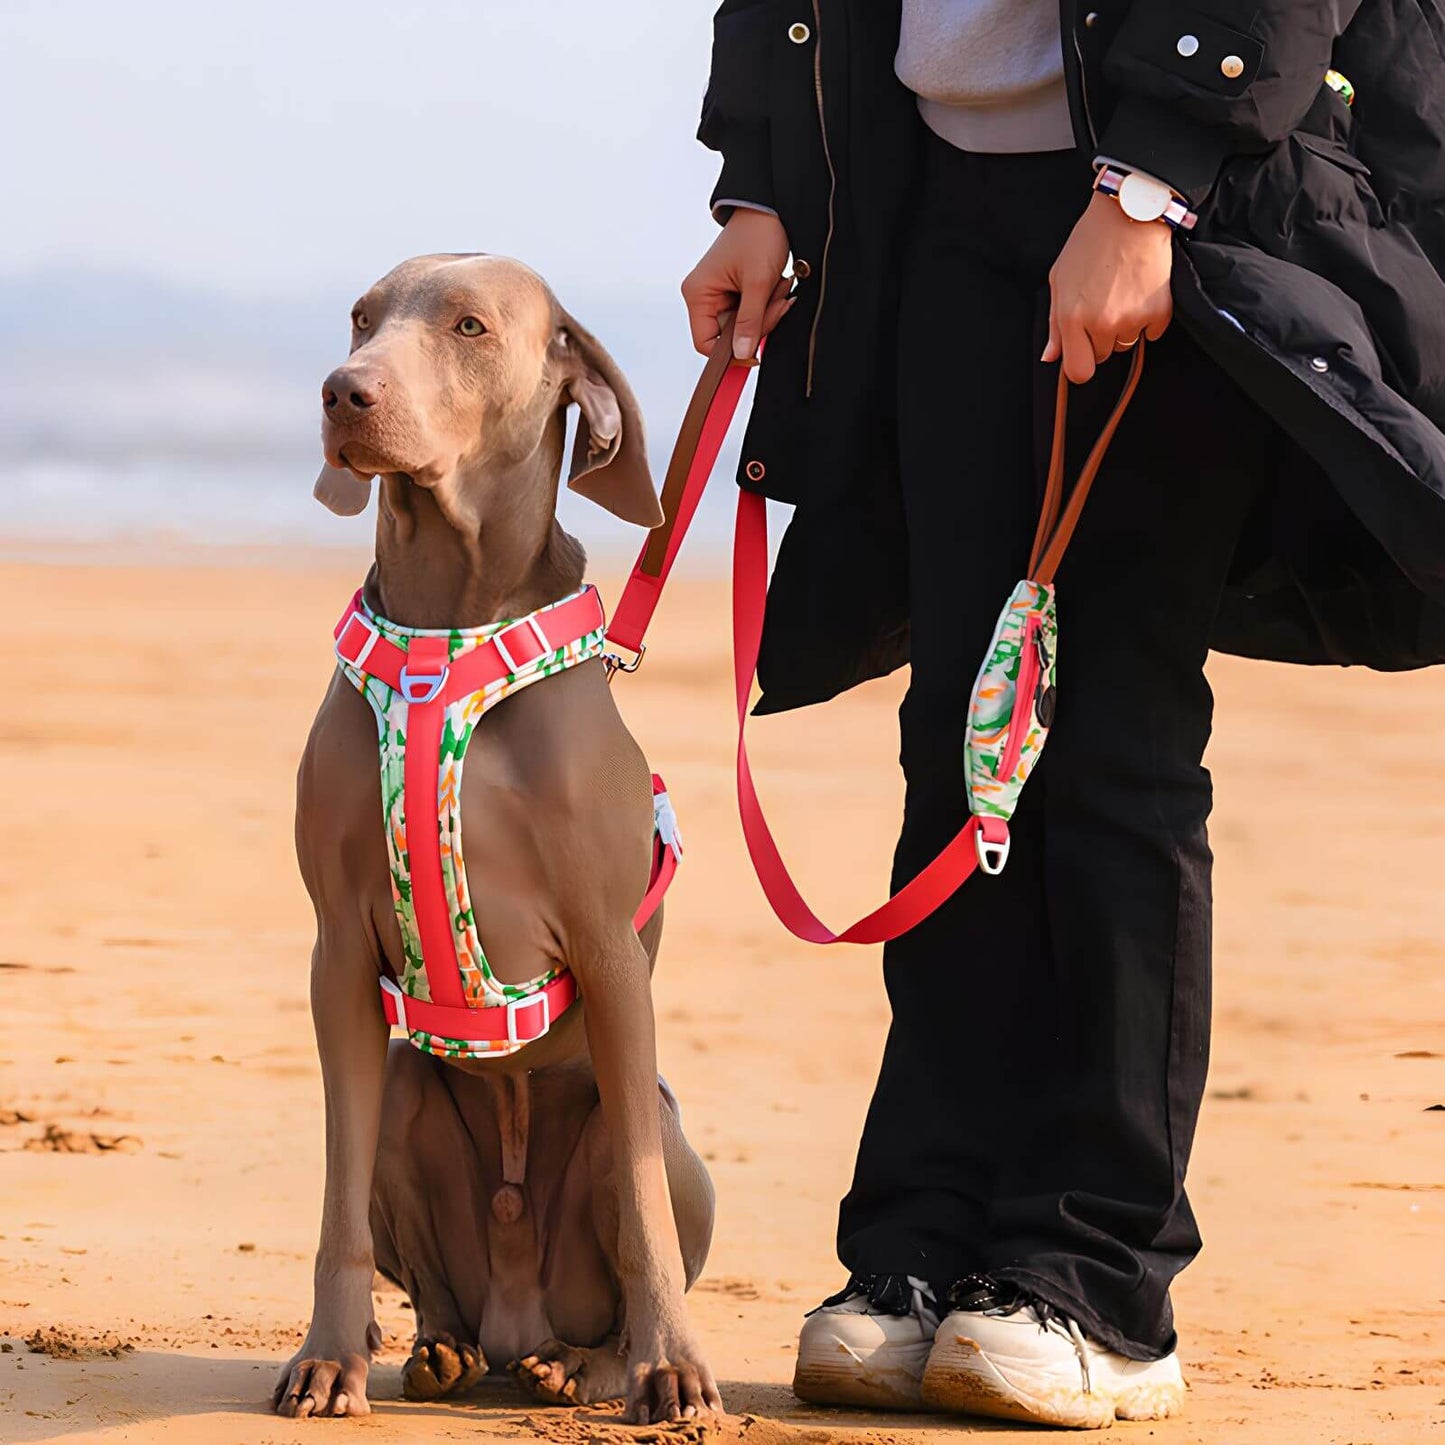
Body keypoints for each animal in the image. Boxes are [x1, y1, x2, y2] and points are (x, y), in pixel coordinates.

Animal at [271, 257, 716, 1421]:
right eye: (360, 317)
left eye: (468, 326)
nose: (343, 392)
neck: (446, 630)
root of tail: (519, 1312)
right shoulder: (337, 953)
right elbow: (335, 1201)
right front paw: (327, 1355)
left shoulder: (609, 952)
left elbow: (645, 1216)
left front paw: (672, 1365)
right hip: (405, 1092)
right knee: (437, 1283)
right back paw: (440, 1350)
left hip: (646, 1121)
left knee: (627, 1228)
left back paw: (589, 1365)